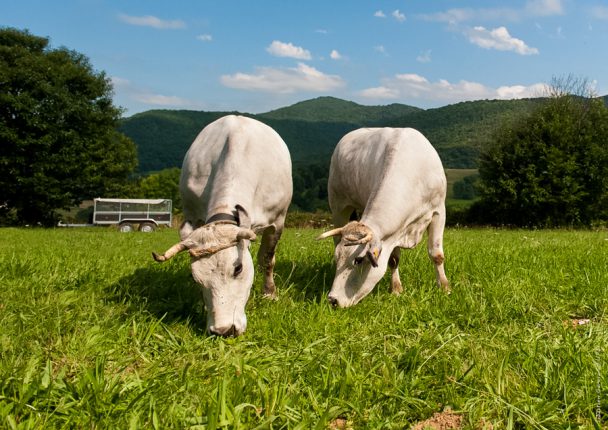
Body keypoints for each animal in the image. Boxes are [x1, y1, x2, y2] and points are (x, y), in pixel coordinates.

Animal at [153, 116, 294, 338]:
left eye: (238, 269)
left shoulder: (277, 221)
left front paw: (270, 293)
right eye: (195, 278)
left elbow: (267, 260)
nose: (224, 330)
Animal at [316, 126, 448, 308]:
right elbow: (393, 259)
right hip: (338, 207)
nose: (333, 299)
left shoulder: (438, 211)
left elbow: (436, 254)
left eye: (358, 260)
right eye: (337, 257)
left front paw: (444, 288)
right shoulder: (391, 234)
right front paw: (396, 289)